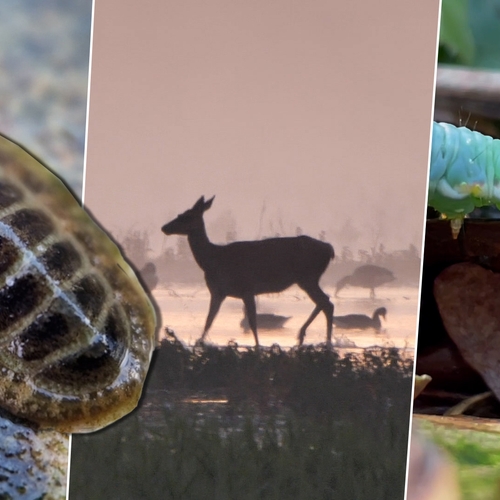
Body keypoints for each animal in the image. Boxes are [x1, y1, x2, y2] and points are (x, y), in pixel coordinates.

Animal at [161, 195, 336, 348]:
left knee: (326, 303)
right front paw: (200, 342)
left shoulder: (247, 288)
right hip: (307, 279)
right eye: (181, 214)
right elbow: (209, 320)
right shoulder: (218, 292)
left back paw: (323, 341)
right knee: (324, 301)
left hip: (307, 277)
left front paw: (258, 345)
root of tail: (329, 249)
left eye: (185, 216)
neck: (213, 259)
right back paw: (306, 336)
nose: (164, 227)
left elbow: (252, 321)